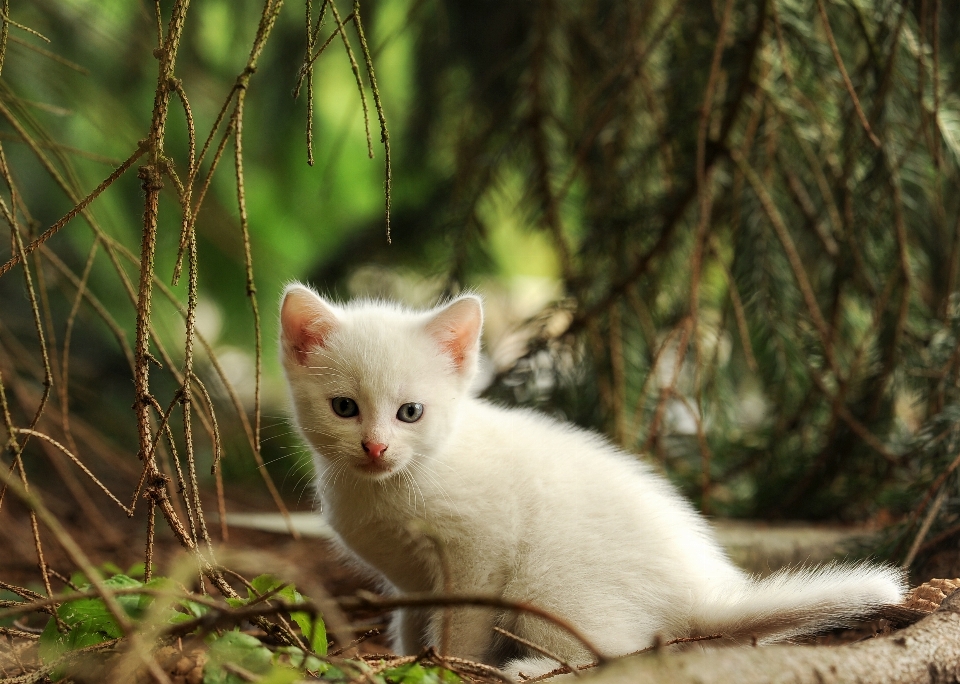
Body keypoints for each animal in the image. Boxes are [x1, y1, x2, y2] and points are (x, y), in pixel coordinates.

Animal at [280, 284, 908, 680]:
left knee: (617, 650)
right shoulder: (411, 577)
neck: (397, 483)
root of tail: (700, 594)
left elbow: (463, 624)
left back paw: (529, 668)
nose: (375, 446)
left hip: (549, 584)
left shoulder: (481, 554)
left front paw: (451, 665)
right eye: (344, 408)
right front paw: (412, 657)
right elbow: (413, 619)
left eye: (410, 412)